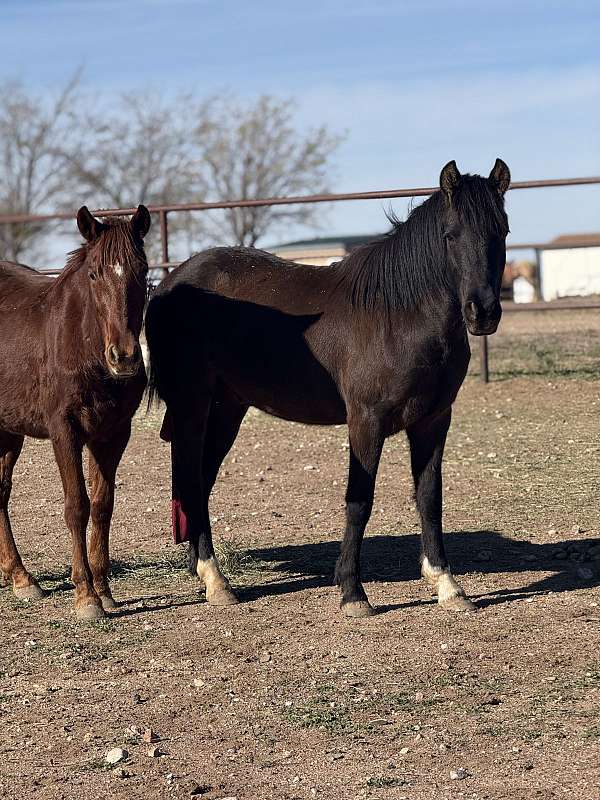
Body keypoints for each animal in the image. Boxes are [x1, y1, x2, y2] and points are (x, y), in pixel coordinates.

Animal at [0, 205, 150, 619]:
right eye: (95, 273)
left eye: (143, 269)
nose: (124, 357)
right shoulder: (64, 431)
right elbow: (76, 506)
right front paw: (86, 596)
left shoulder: (113, 433)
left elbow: (102, 506)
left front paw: (104, 588)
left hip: (8, 432)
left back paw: (20, 578)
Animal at [145, 159, 510, 617]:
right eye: (451, 234)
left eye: (502, 231)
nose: (483, 312)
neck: (399, 315)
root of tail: (167, 285)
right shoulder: (365, 423)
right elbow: (359, 501)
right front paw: (353, 593)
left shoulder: (433, 421)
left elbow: (429, 497)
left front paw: (448, 586)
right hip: (193, 405)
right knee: (193, 479)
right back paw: (215, 578)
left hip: (227, 407)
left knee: (200, 479)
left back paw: (206, 575)